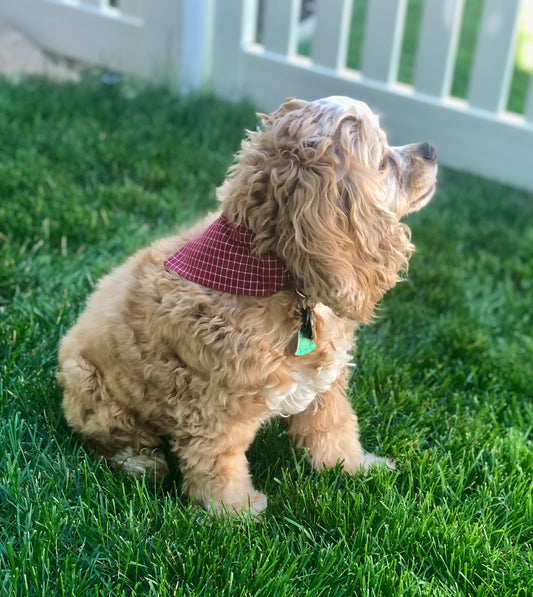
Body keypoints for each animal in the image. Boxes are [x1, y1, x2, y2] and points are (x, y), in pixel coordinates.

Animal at [57, 96, 436, 512]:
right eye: (383, 161)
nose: (430, 149)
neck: (270, 273)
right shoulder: (214, 408)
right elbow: (217, 466)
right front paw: (236, 513)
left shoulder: (324, 385)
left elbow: (335, 430)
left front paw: (357, 468)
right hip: (92, 389)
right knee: (107, 440)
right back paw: (141, 463)